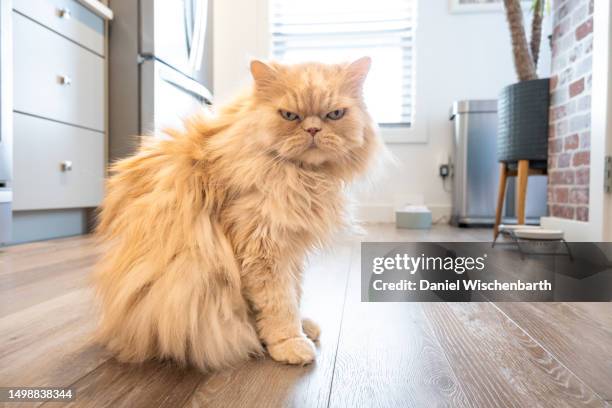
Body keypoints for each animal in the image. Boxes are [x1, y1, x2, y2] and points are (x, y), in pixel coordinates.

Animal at [93, 56, 380, 370]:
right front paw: (290, 342)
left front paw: (299, 328)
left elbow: (295, 292)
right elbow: (280, 304)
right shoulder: (264, 249)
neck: (302, 178)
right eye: (290, 116)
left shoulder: (290, 247)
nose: (313, 130)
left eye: (335, 114)